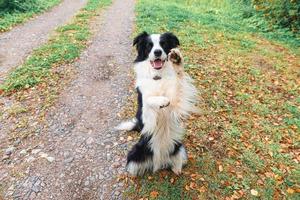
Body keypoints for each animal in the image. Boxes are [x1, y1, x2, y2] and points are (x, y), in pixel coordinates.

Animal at [117, 31, 199, 175]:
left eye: (163, 44)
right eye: (149, 45)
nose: (157, 52)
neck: (157, 76)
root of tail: (160, 162)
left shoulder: (176, 105)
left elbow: (179, 82)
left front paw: (177, 60)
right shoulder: (146, 117)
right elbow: (149, 100)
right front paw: (162, 100)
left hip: (179, 147)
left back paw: (177, 170)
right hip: (134, 154)